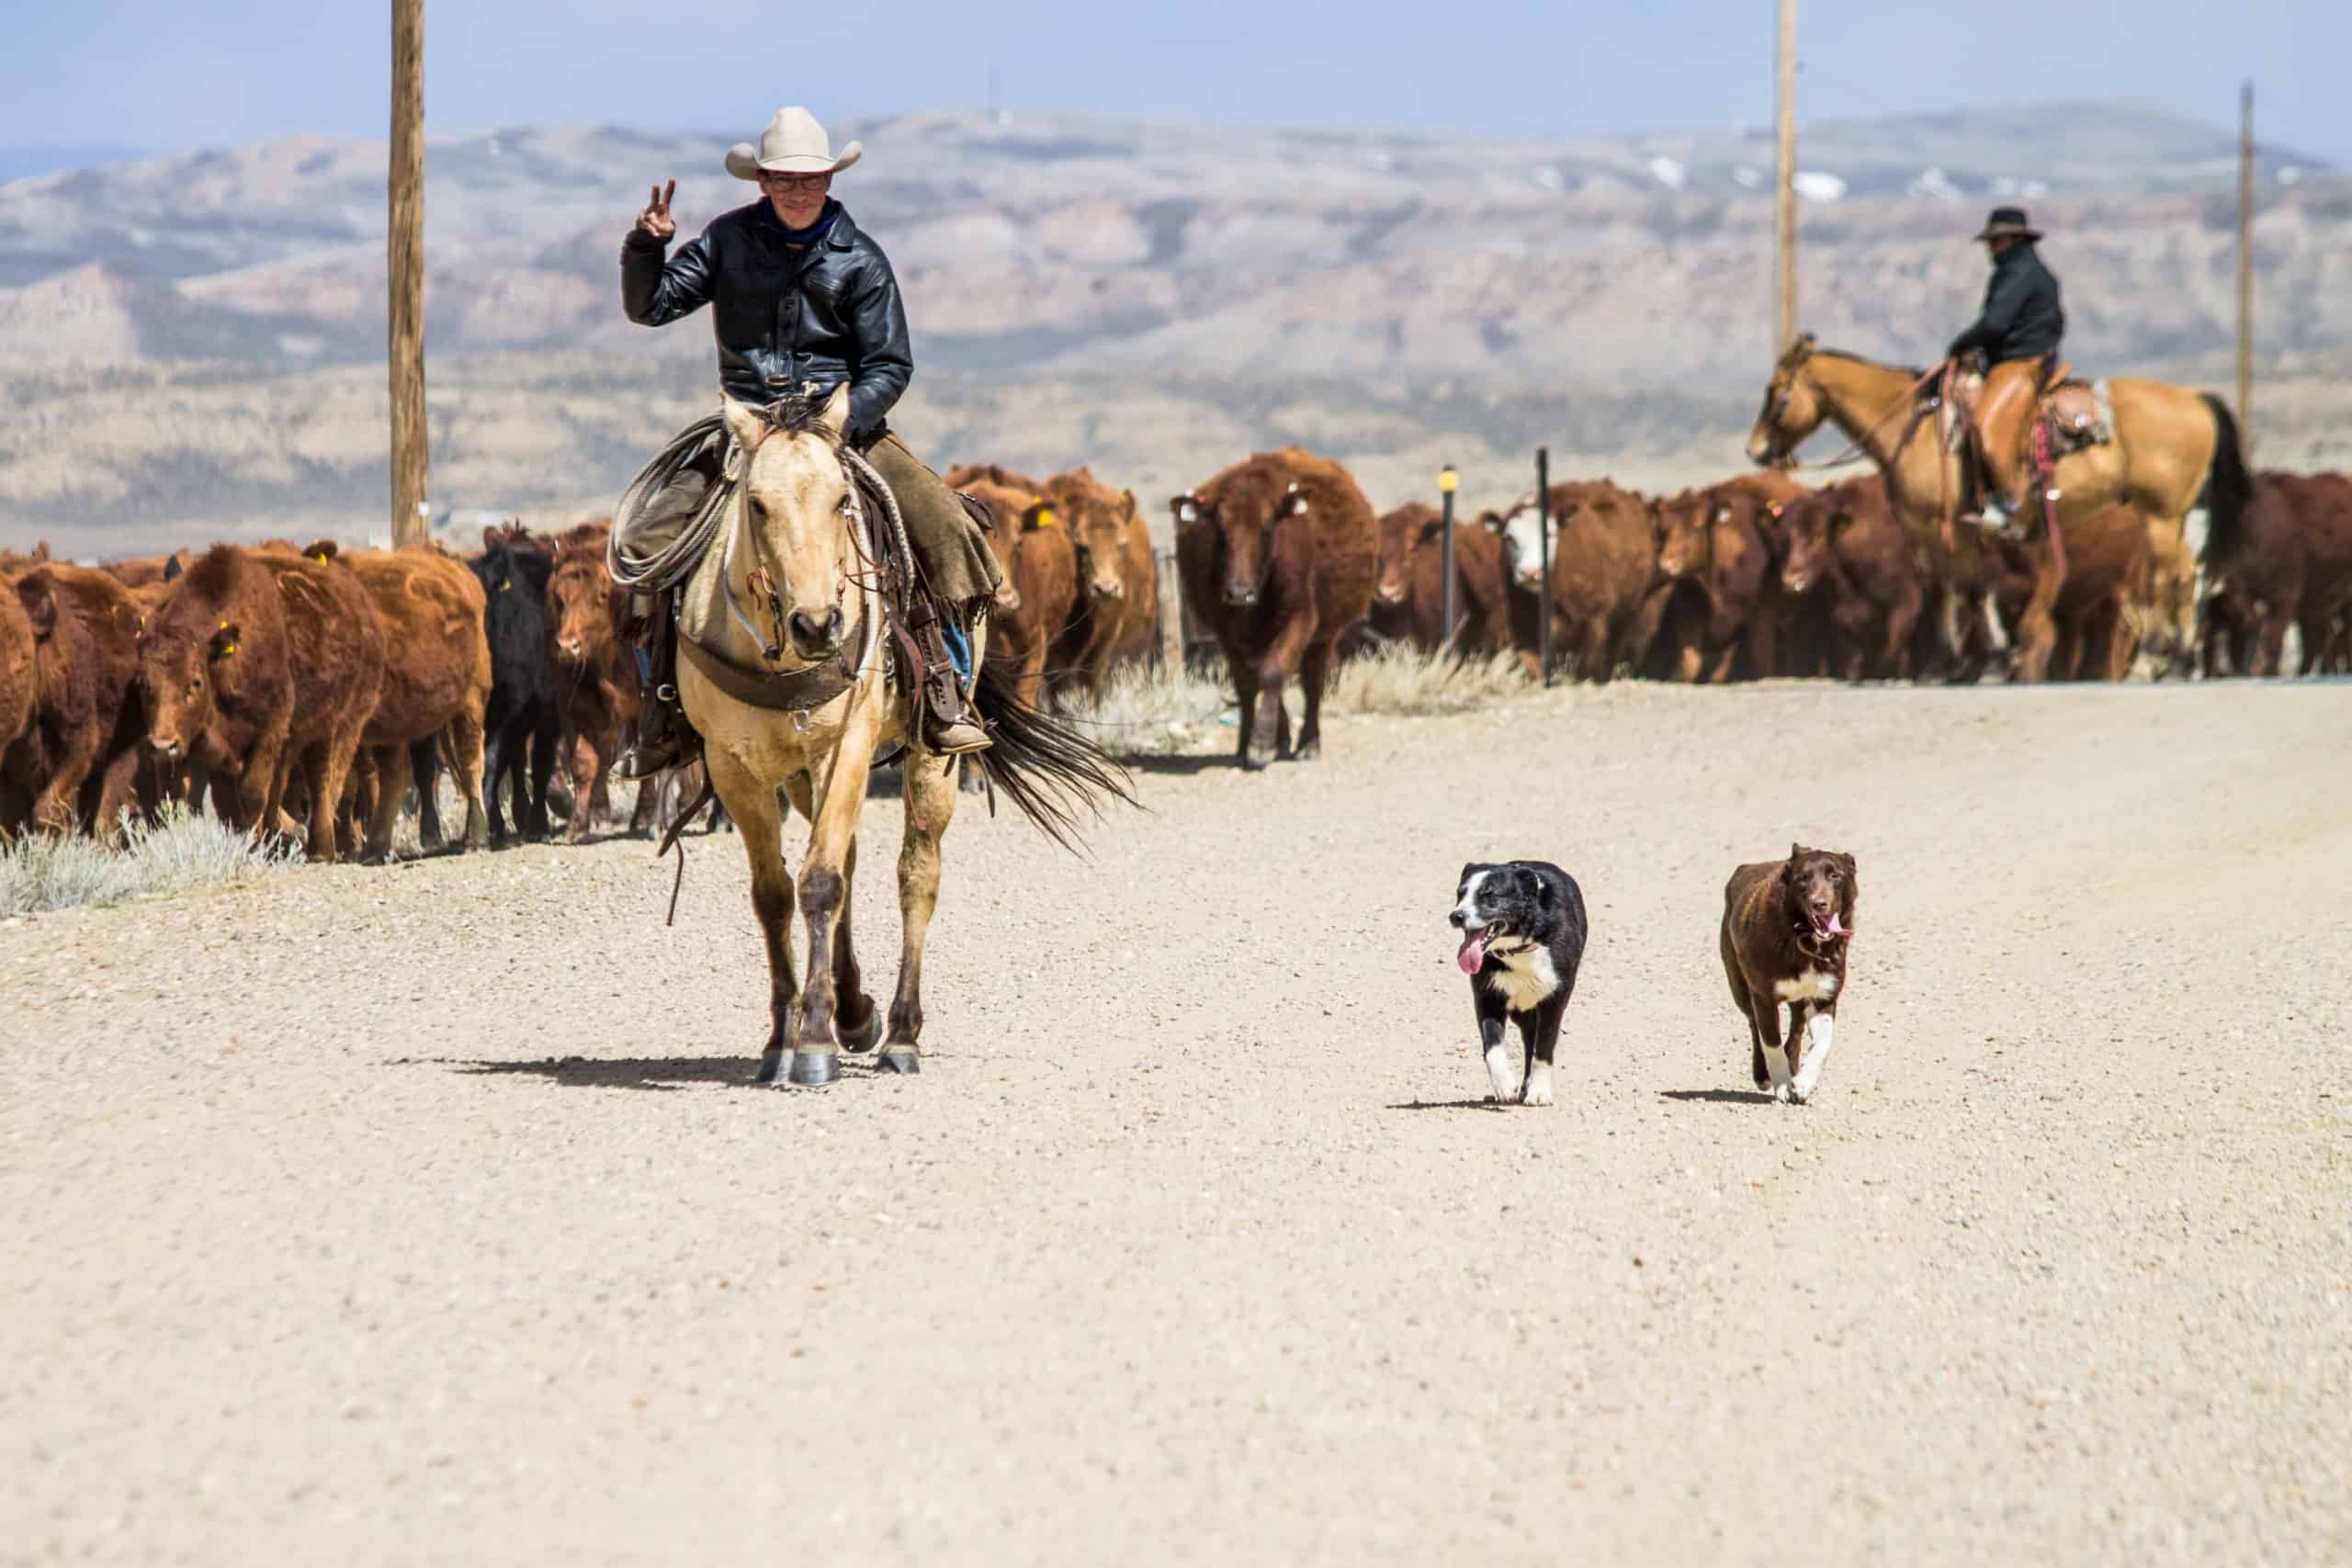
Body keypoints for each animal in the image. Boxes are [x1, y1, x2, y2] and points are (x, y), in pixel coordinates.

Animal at [1172, 446, 1378, 768]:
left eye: (1268, 529)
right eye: (1220, 530)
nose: (1239, 593)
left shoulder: (1299, 619)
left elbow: (1275, 672)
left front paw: (1260, 745)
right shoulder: (1225, 631)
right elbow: (1247, 682)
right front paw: (1247, 743)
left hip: (1324, 635)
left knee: (1311, 682)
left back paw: (1308, 743)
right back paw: (1281, 740)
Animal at [1777, 476, 1932, 681]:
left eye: (1819, 535)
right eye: (1784, 537)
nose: (1791, 578)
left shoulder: (1905, 606)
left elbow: (1891, 655)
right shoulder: (1846, 622)